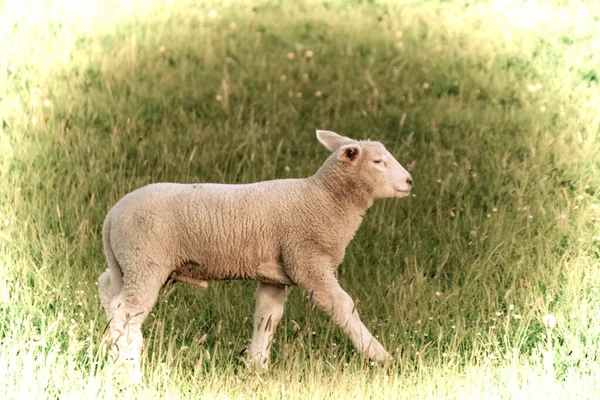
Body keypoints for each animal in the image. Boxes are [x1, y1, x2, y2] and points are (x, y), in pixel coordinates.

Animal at [98, 130, 414, 382]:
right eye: (378, 162)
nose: (410, 181)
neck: (324, 199)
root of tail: (111, 217)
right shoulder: (308, 262)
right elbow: (344, 307)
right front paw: (380, 356)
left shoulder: (276, 275)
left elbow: (267, 317)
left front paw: (256, 366)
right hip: (145, 261)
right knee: (127, 311)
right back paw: (130, 372)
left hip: (125, 263)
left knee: (109, 293)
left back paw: (112, 354)